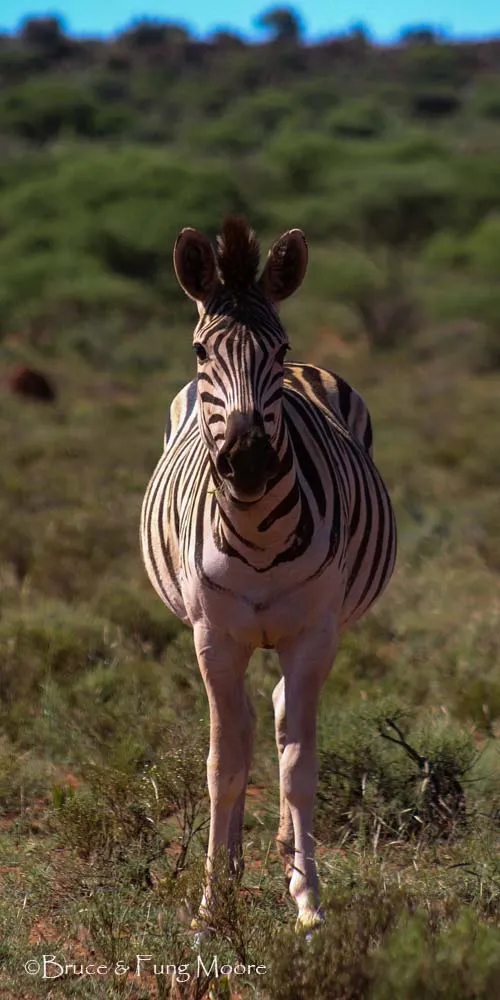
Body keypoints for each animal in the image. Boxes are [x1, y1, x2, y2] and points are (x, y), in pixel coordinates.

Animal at [142, 217, 398, 928]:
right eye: (201, 352)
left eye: (276, 350)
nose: (250, 462)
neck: (256, 532)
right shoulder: (213, 636)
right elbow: (223, 766)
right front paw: (210, 905)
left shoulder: (314, 634)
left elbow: (299, 765)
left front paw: (308, 900)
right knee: (248, 726)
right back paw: (231, 865)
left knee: (280, 719)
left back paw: (285, 855)